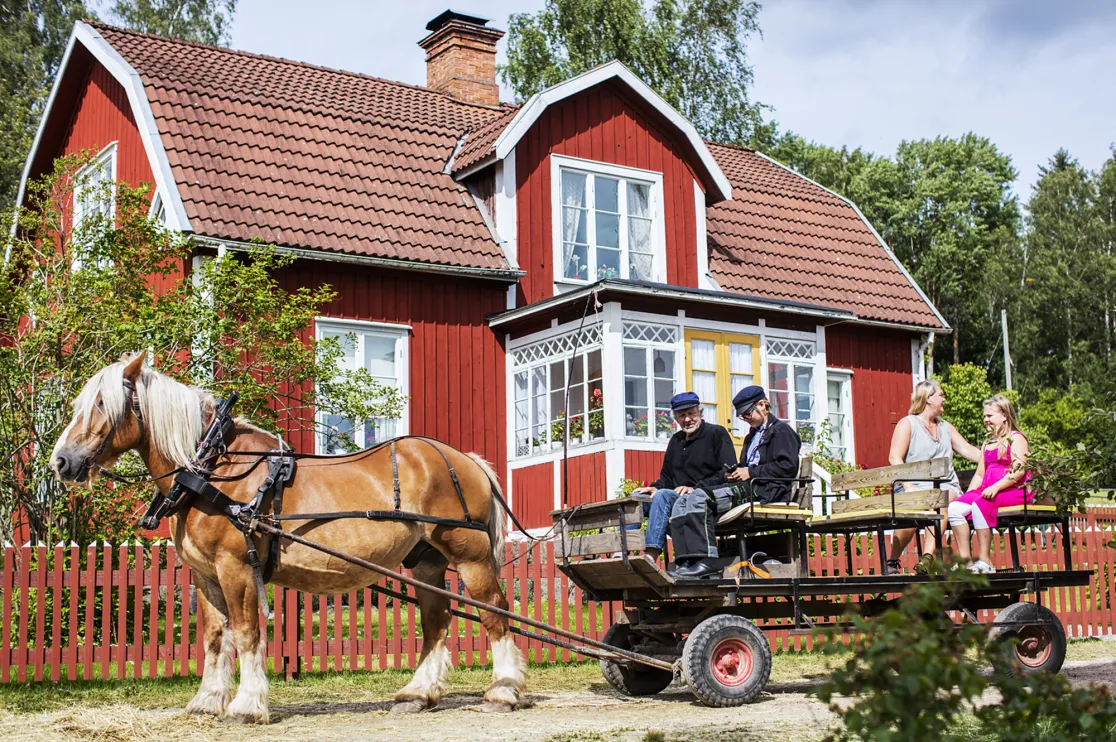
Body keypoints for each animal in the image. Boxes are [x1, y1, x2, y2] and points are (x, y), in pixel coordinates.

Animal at [50, 352, 524, 723]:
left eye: (101, 403)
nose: (61, 462)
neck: (210, 469)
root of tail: (467, 460)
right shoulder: (205, 576)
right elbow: (215, 637)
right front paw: (207, 701)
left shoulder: (236, 567)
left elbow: (246, 634)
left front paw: (246, 705)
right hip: (427, 560)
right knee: (436, 621)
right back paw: (417, 693)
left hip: (471, 556)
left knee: (494, 612)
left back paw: (502, 690)